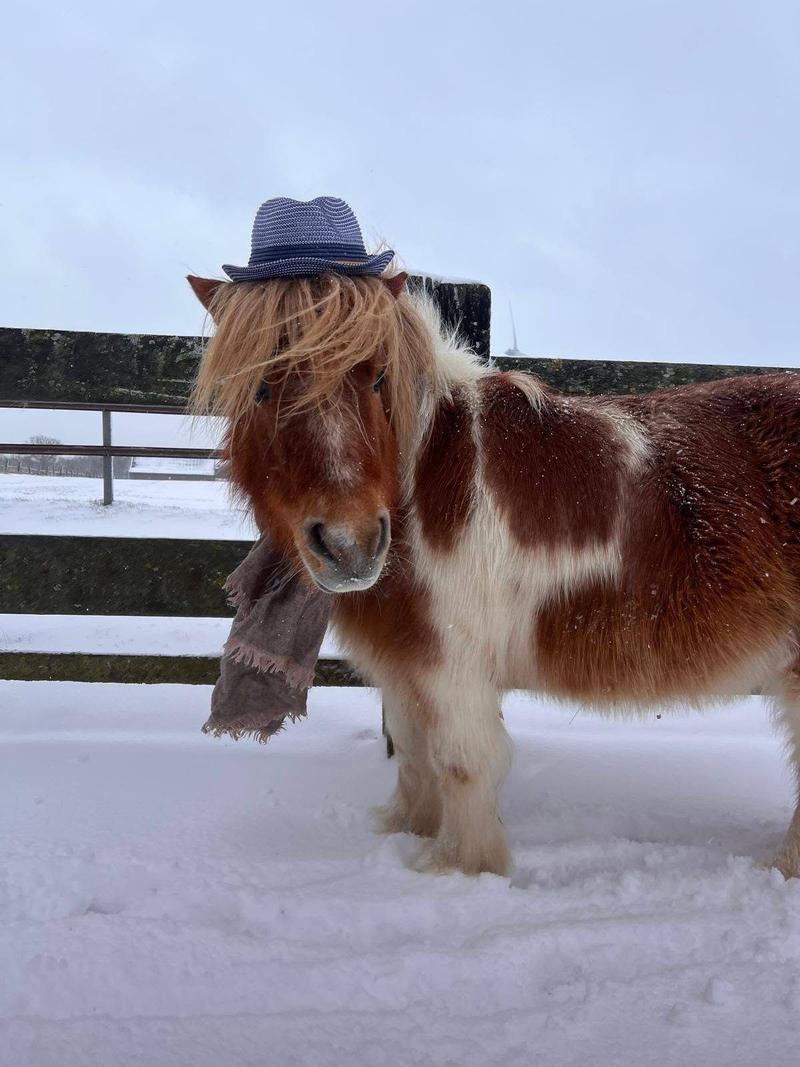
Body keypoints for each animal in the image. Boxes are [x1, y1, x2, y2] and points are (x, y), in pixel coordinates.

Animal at [188, 271, 800, 879]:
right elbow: (413, 754)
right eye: (260, 389)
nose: (350, 545)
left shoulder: (453, 668)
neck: (423, 482)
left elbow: (461, 764)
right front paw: (407, 831)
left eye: (379, 379)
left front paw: (460, 870)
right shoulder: (406, 666)